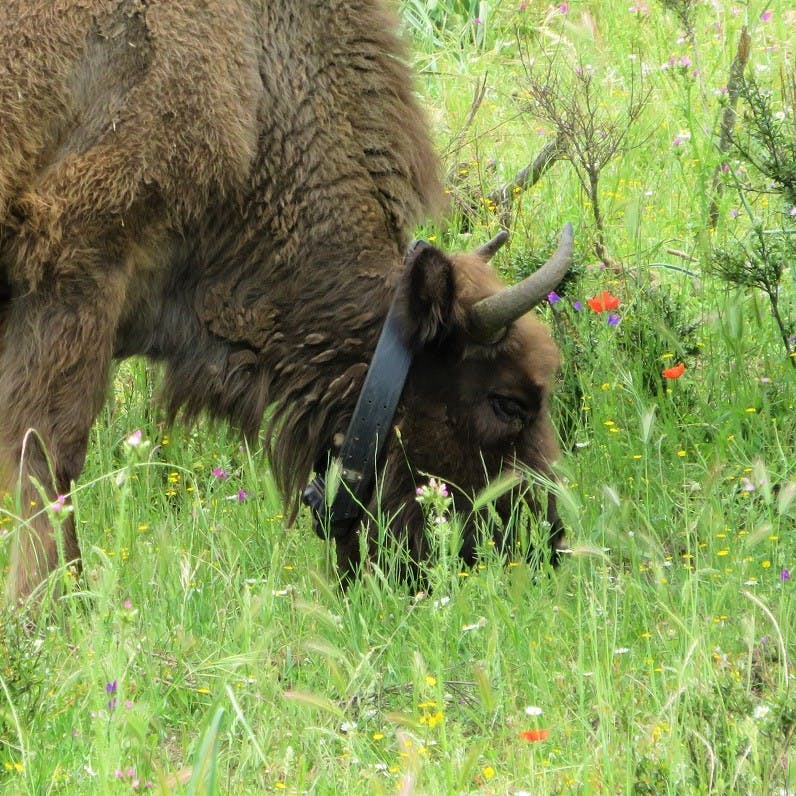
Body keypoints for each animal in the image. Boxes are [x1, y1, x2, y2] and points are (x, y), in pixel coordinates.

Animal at [1, 0, 572, 604]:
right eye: (508, 402)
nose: (548, 542)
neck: (257, 94)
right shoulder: (76, 275)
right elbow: (49, 454)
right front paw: (52, 604)